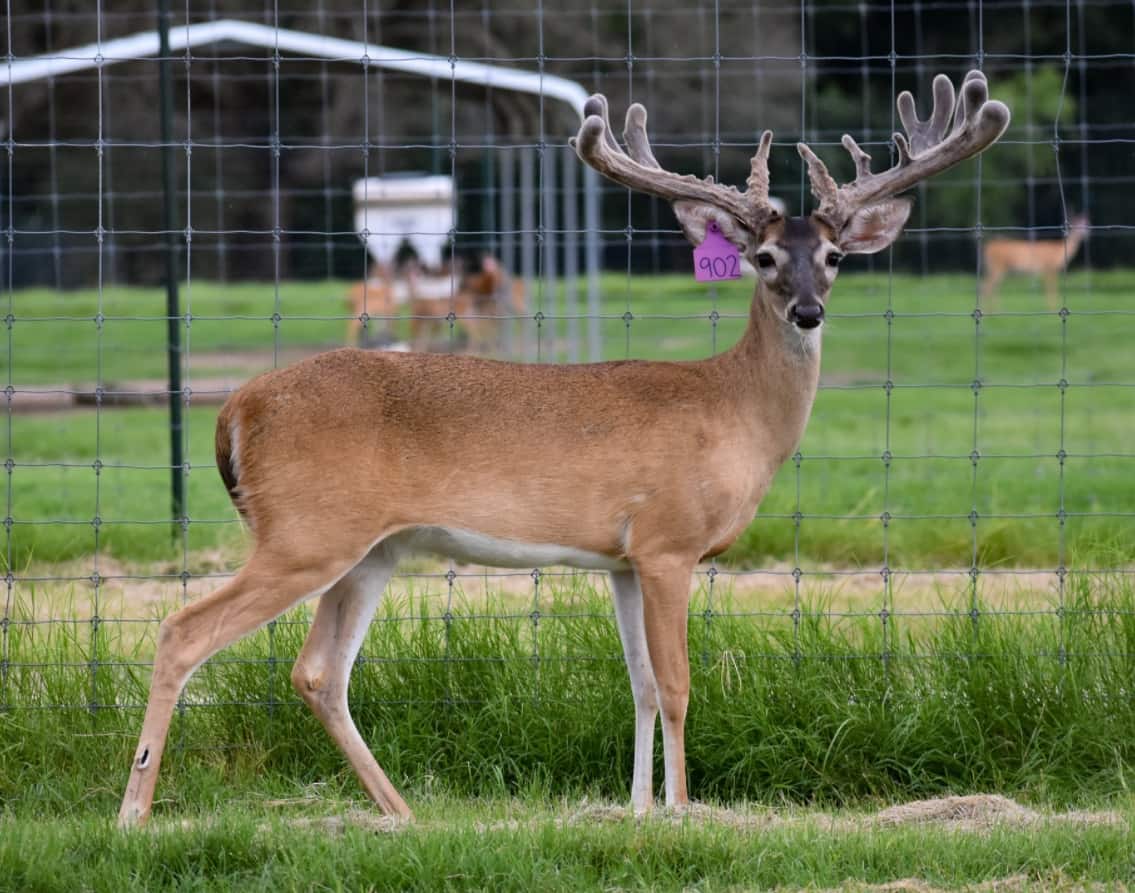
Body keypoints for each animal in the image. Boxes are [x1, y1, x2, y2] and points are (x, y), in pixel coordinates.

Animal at [117, 71, 1008, 828]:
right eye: (760, 258)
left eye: (831, 257)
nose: (808, 311)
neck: (735, 413)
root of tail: (236, 406)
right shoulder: (667, 541)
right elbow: (676, 683)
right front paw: (683, 811)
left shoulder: (619, 558)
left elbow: (639, 684)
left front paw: (639, 809)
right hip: (305, 531)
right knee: (183, 631)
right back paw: (135, 810)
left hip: (370, 547)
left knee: (318, 671)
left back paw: (402, 812)